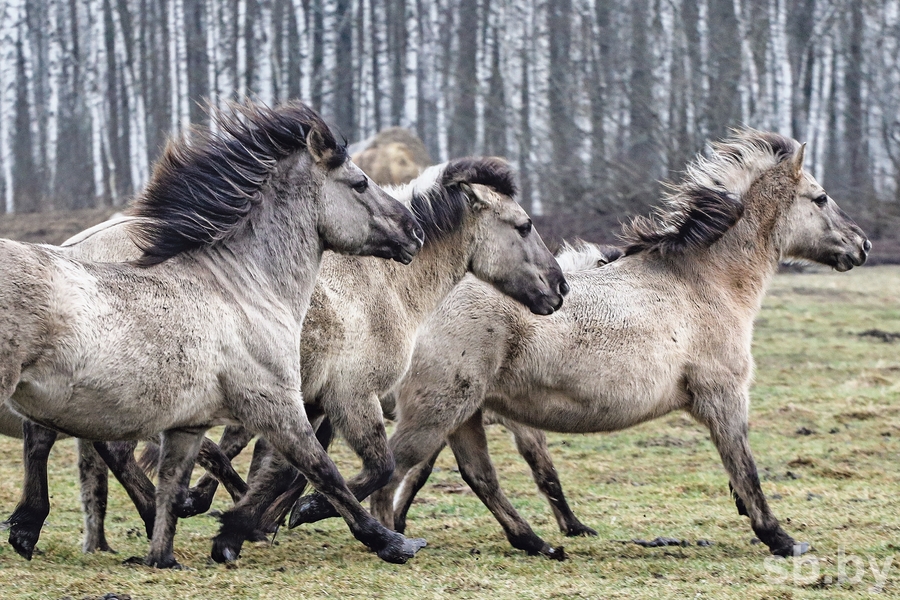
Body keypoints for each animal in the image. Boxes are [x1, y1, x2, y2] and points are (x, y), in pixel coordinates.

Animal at [0, 100, 430, 568]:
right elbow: (321, 469)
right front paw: (390, 541)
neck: (243, 288)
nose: (415, 231)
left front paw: (165, 556)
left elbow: (174, 484)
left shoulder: (190, 423)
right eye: (360, 183)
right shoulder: (276, 403)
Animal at [369, 130, 871, 560]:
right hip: (440, 410)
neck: (705, 283)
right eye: (820, 197)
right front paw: (781, 539)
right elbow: (744, 466)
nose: (861, 245)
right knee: (395, 471)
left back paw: (537, 544)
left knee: (475, 476)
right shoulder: (724, 396)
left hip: (464, 413)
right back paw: (393, 540)